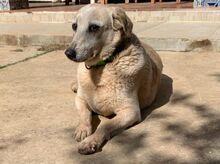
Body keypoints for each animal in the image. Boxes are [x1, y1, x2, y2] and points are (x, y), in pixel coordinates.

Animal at [64, 4, 162, 155]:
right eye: (74, 26)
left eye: (94, 27)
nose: (68, 53)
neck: (100, 68)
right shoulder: (80, 99)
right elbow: (84, 114)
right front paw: (83, 128)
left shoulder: (130, 111)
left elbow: (106, 125)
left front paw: (91, 141)